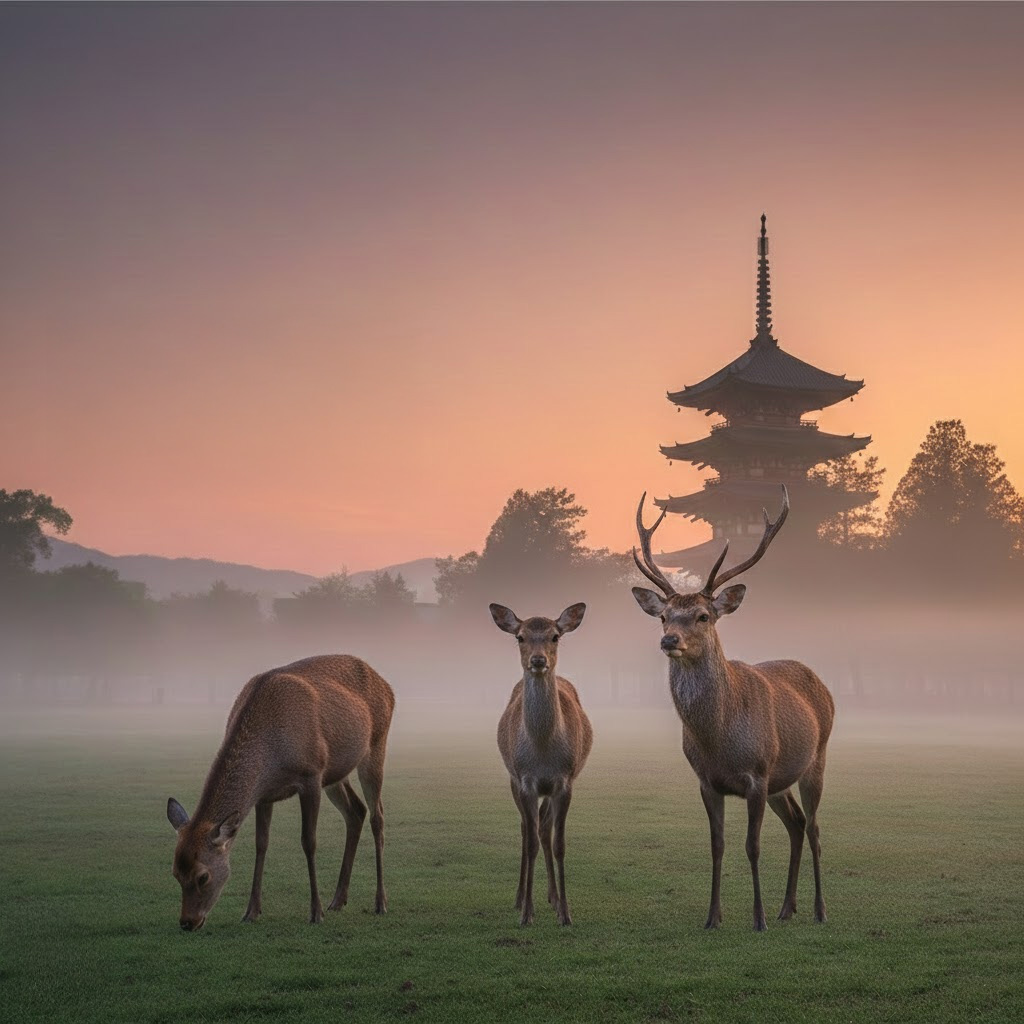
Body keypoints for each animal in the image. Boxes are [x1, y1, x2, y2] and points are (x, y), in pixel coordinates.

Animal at [165, 654, 394, 931]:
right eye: (175, 873)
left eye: (203, 876)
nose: (188, 922)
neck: (270, 759)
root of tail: (389, 688)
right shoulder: (265, 795)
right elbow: (261, 844)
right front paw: (251, 911)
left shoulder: (311, 775)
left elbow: (309, 842)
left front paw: (315, 912)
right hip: (335, 773)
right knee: (356, 810)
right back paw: (338, 900)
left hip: (376, 745)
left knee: (377, 816)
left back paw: (380, 903)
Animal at [490, 602, 593, 927]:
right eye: (520, 637)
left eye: (555, 636)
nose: (538, 660)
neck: (543, 751)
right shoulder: (525, 781)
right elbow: (532, 842)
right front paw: (526, 914)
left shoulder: (564, 781)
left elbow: (558, 844)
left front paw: (566, 913)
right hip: (513, 779)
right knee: (527, 829)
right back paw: (521, 898)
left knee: (544, 829)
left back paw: (553, 898)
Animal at [629, 486, 834, 931]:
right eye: (664, 616)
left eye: (703, 615)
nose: (669, 640)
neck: (719, 740)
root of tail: (823, 685)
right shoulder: (708, 781)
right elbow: (717, 845)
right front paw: (713, 917)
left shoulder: (757, 773)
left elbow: (752, 846)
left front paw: (757, 919)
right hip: (781, 780)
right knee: (797, 824)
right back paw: (787, 907)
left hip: (815, 760)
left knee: (814, 828)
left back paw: (819, 910)